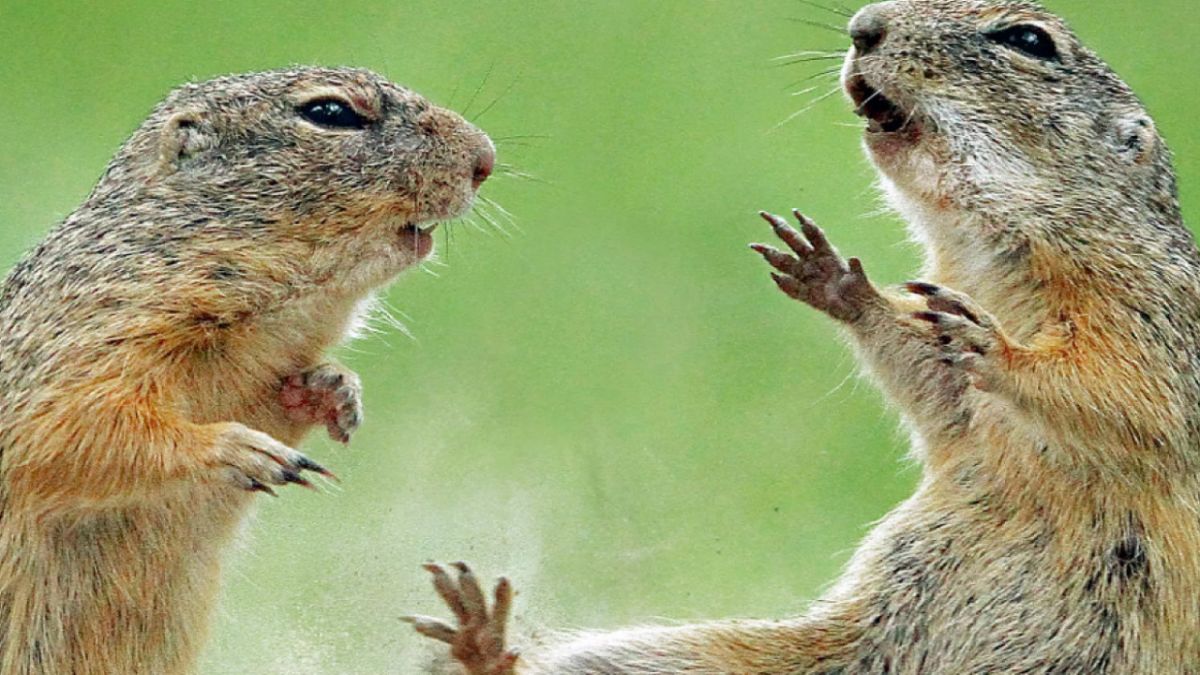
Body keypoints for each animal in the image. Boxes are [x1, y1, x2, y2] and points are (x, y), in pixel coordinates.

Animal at [0, 64, 492, 672]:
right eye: (330, 113)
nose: (486, 158)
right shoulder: (87, 339)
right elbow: (69, 432)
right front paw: (240, 450)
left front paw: (332, 388)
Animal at [410, 1, 1190, 667]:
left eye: (1028, 40)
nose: (863, 24)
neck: (989, 259)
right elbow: (934, 388)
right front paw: (835, 279)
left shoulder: (1149, 309)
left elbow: (1130, 393)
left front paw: (991, 345)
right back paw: (482, 641)